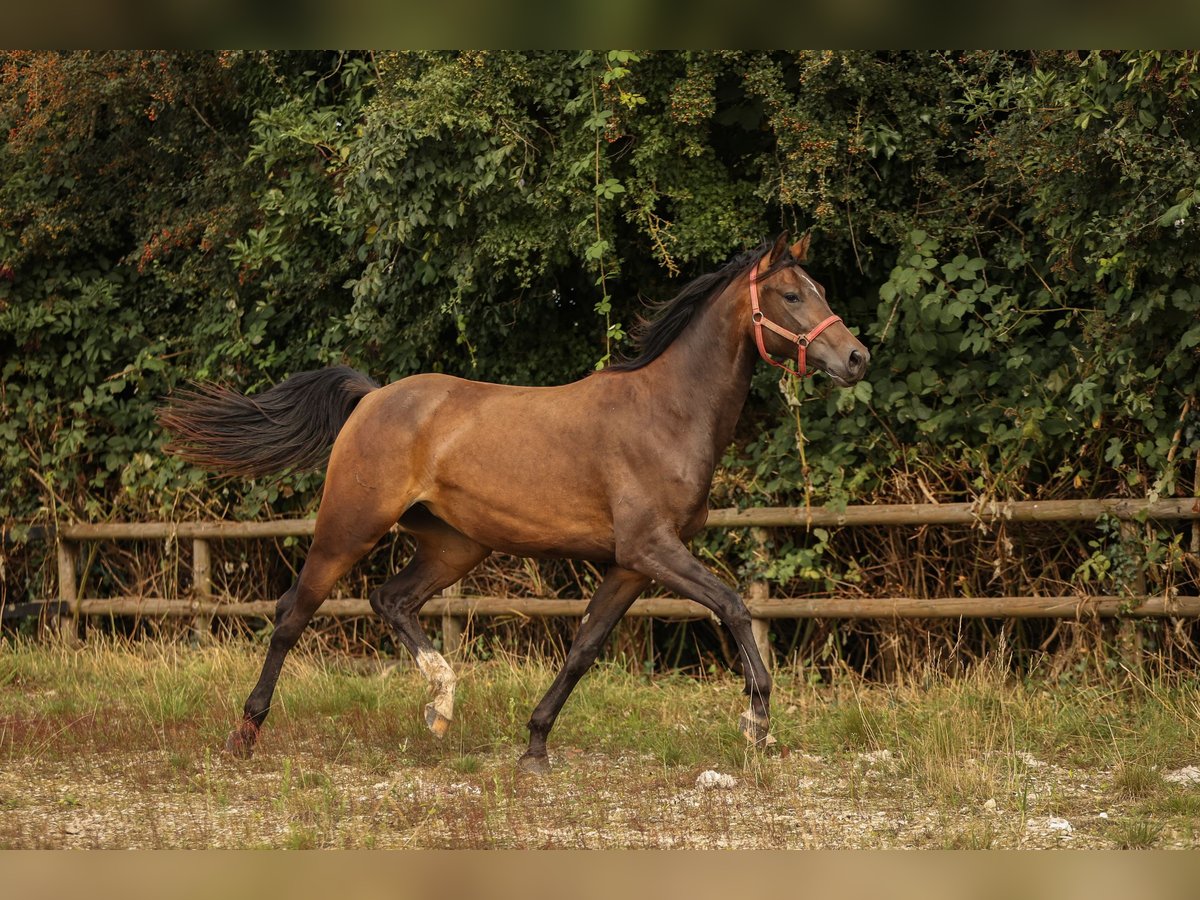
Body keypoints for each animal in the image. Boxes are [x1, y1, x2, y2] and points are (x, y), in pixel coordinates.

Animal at [162, 234, 873, 777]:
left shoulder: (630, 565)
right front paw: (757, 720)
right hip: (350, 526)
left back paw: (441, 703)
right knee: (293, 613)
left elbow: (583, 649)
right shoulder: (654, 549)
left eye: (820, 289)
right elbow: (733, 605)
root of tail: (372, 396)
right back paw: (246, 733)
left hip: (454, 545)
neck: (667, 414)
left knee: (391, 599)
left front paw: (534, 747)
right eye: (791, 295)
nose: (856, 358)